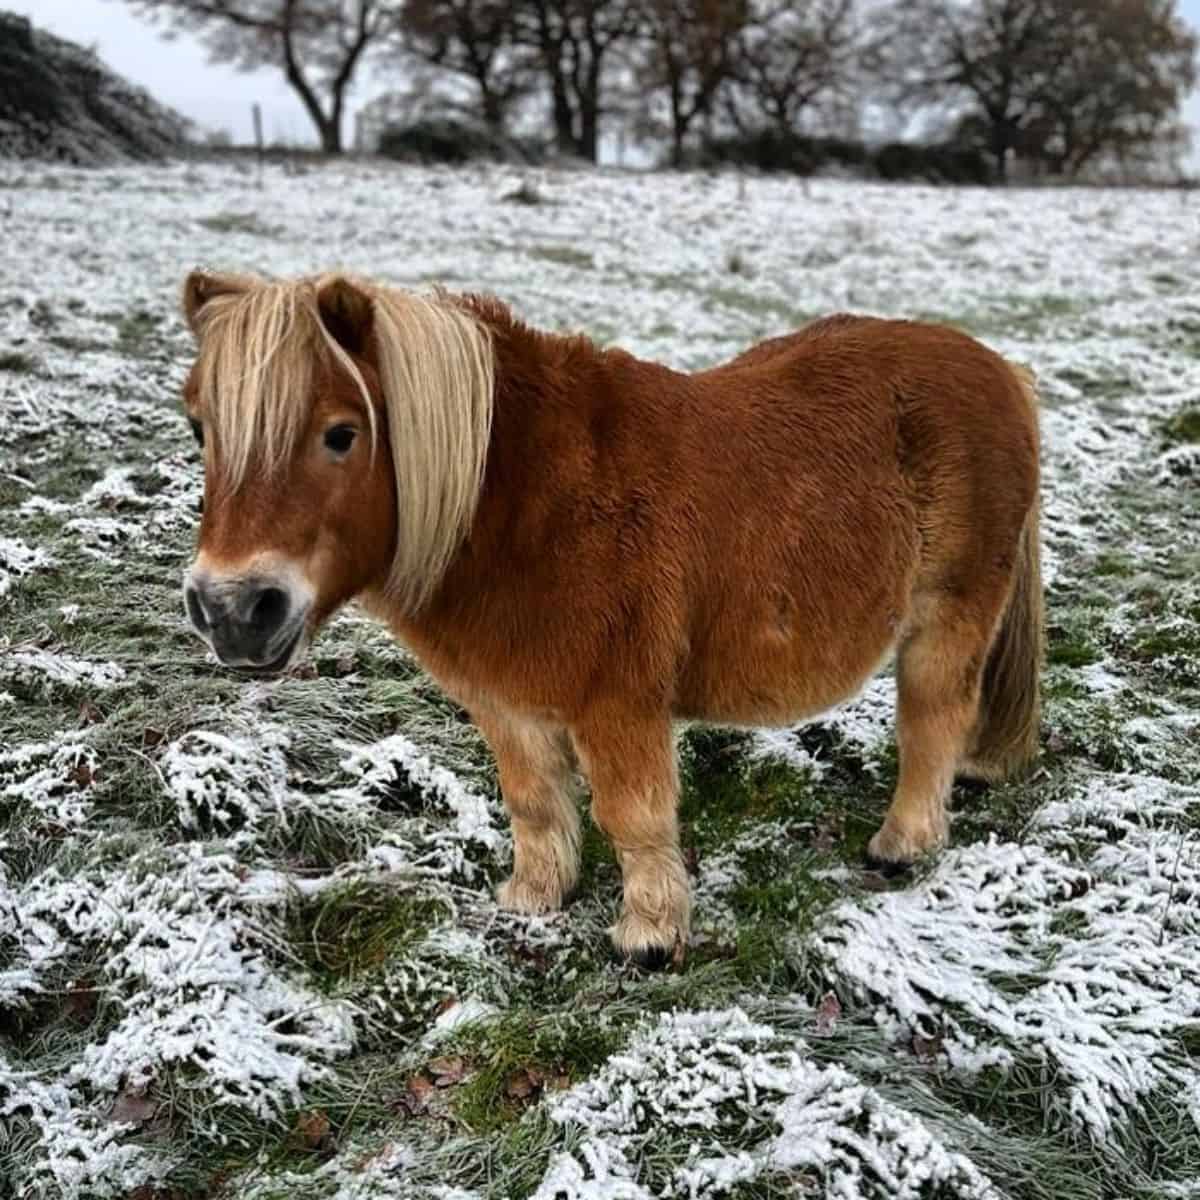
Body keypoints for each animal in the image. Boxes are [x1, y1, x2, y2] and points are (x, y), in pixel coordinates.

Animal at [177, 270, 1041, 964]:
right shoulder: (508, 703)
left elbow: (632, 816)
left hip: (949, 617)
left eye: (341, 434)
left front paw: (649, 935)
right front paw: (534, 899)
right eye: (199, 429)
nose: (232, 609)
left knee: (934, 722)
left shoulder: (617, 704)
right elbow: (534, 803)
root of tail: (1000, 368)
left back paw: (903, 845)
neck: (523, 505)